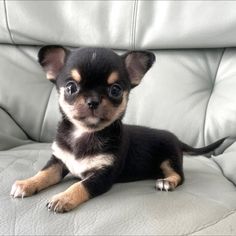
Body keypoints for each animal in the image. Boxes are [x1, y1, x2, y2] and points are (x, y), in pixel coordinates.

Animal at [10, 45, 225, 213]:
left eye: (115, 90)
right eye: (71, 88)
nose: (93, 100)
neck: (85, 133)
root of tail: (178, 140)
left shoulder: (103, 176)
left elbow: (80, 185)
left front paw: (63, 197)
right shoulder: (59, 162)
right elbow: (44, 173)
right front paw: (27, 183)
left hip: (169, 159)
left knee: (179, 175)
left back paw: (167, 181)